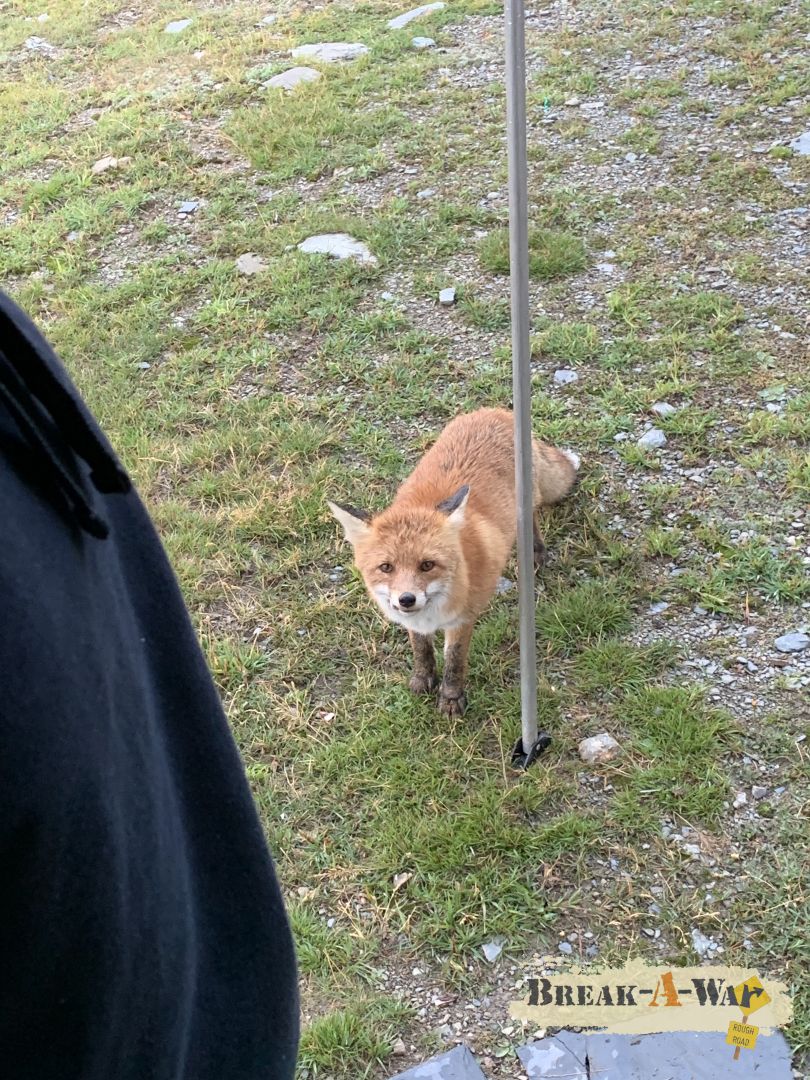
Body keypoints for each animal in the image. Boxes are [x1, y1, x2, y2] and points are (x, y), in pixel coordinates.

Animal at [328, 408, 580, 717]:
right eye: (386, 567)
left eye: (427, 565)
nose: (406, 599)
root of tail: (495, 410)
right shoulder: (415, 622)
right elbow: (421, 649)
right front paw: (423, 679)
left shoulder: (463, 618)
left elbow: (455, 660)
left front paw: (450, 697)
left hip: (525, 496)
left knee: (531, 513)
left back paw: (535, 551)